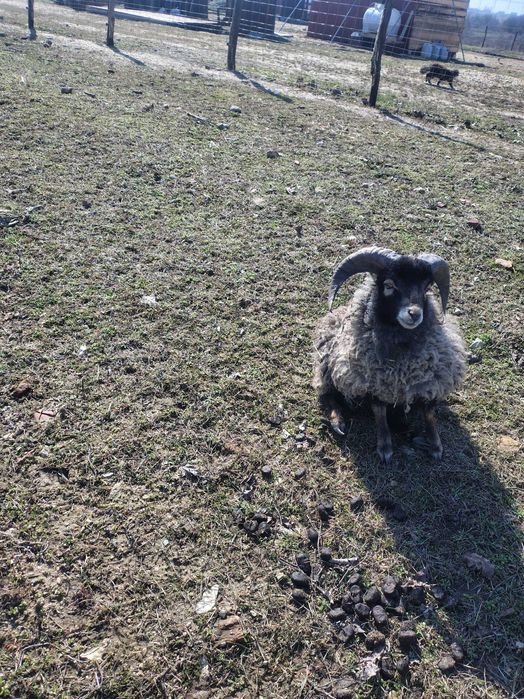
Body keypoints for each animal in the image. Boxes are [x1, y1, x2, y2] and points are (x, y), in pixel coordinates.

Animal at [313, 246, 467, 464]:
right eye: (389, 285)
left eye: (426, 288)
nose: (414, 314)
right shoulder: (374, 383)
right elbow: (379, 412)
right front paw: (385, 447)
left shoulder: (431, 382)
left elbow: (429, 413)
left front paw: (436, 445)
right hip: (327, 361)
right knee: (328, 393)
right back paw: (338, 421)